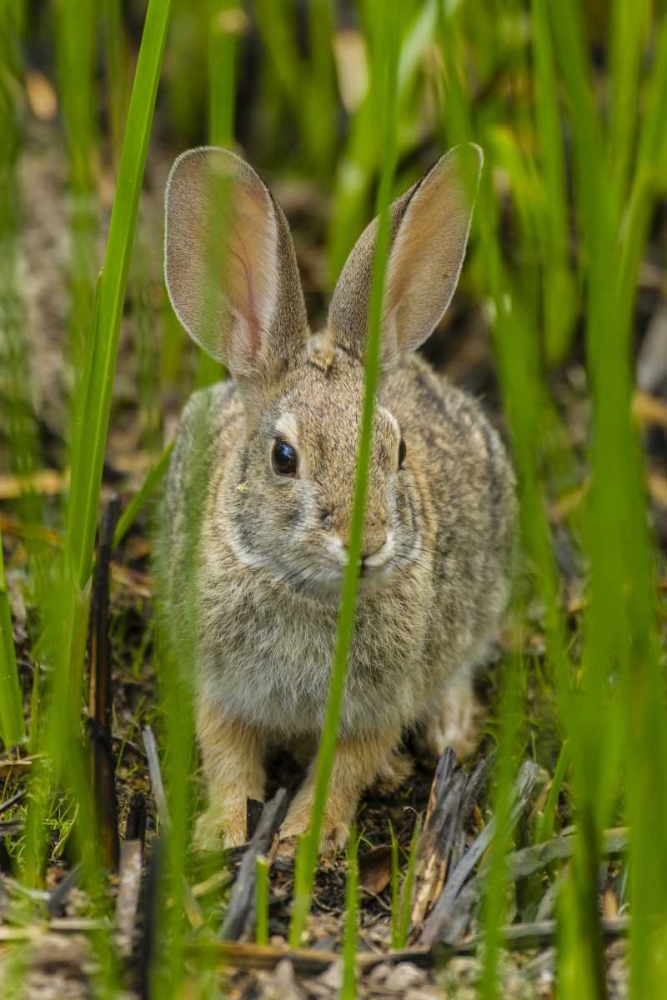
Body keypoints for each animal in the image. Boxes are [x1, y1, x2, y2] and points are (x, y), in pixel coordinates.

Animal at [157, 143, 517, 852]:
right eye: (283, 457)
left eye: (398, 452)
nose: (368, 542)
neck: (308, 592)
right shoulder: (220, 685)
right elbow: (228, 755)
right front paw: (224, 831)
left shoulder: (378, 702)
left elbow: (346, 767)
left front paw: (305, 839)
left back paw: (449, 728)